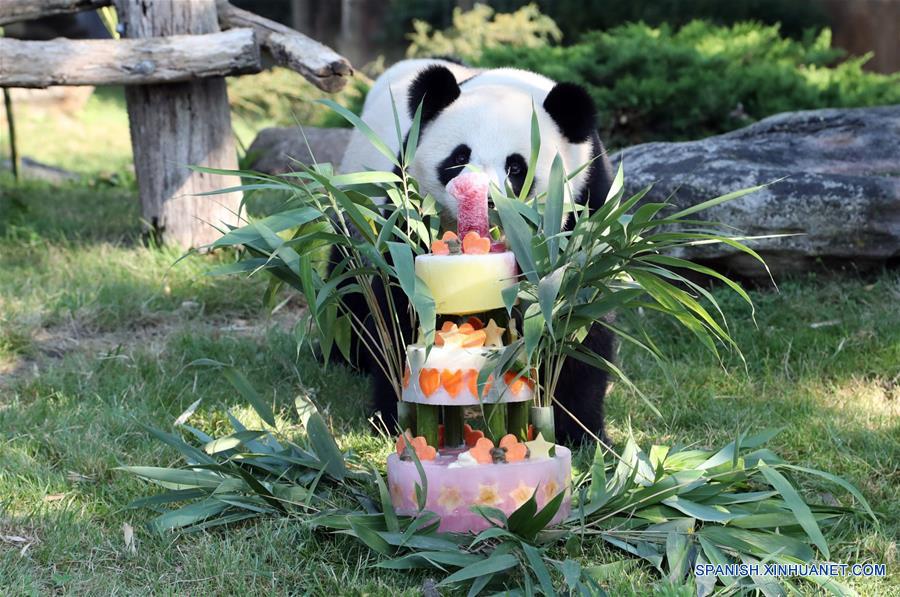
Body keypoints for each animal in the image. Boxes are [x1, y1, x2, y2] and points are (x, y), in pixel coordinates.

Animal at [338, 59, 620, 442]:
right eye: (459, 157)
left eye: (516, 167)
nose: (483, 198)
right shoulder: (406, 209)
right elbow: (401, 305)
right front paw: (395, 414)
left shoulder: (585, 207)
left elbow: (580, 312)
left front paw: (579, 431)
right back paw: (343, 357)